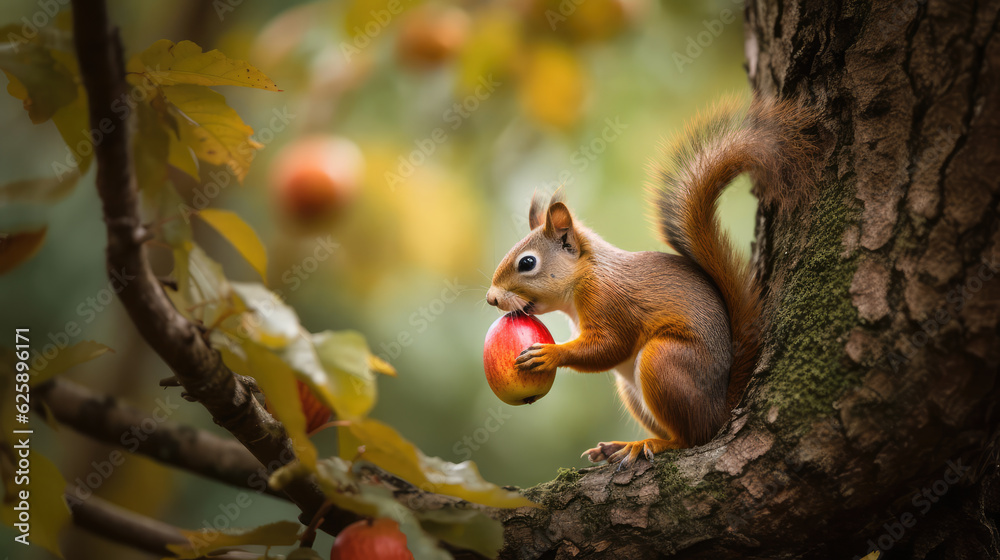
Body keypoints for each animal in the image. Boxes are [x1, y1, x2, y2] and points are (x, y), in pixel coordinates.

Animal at [486, 94, 820, 466]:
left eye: (527, 262)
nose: (491, 298)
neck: (584, 279)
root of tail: (720, 410)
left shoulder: (609, 301)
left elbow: (610, 346)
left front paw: (551, 354)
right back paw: (620, 446)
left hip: (663, 362)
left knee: (692, 438)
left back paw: (654, 444)